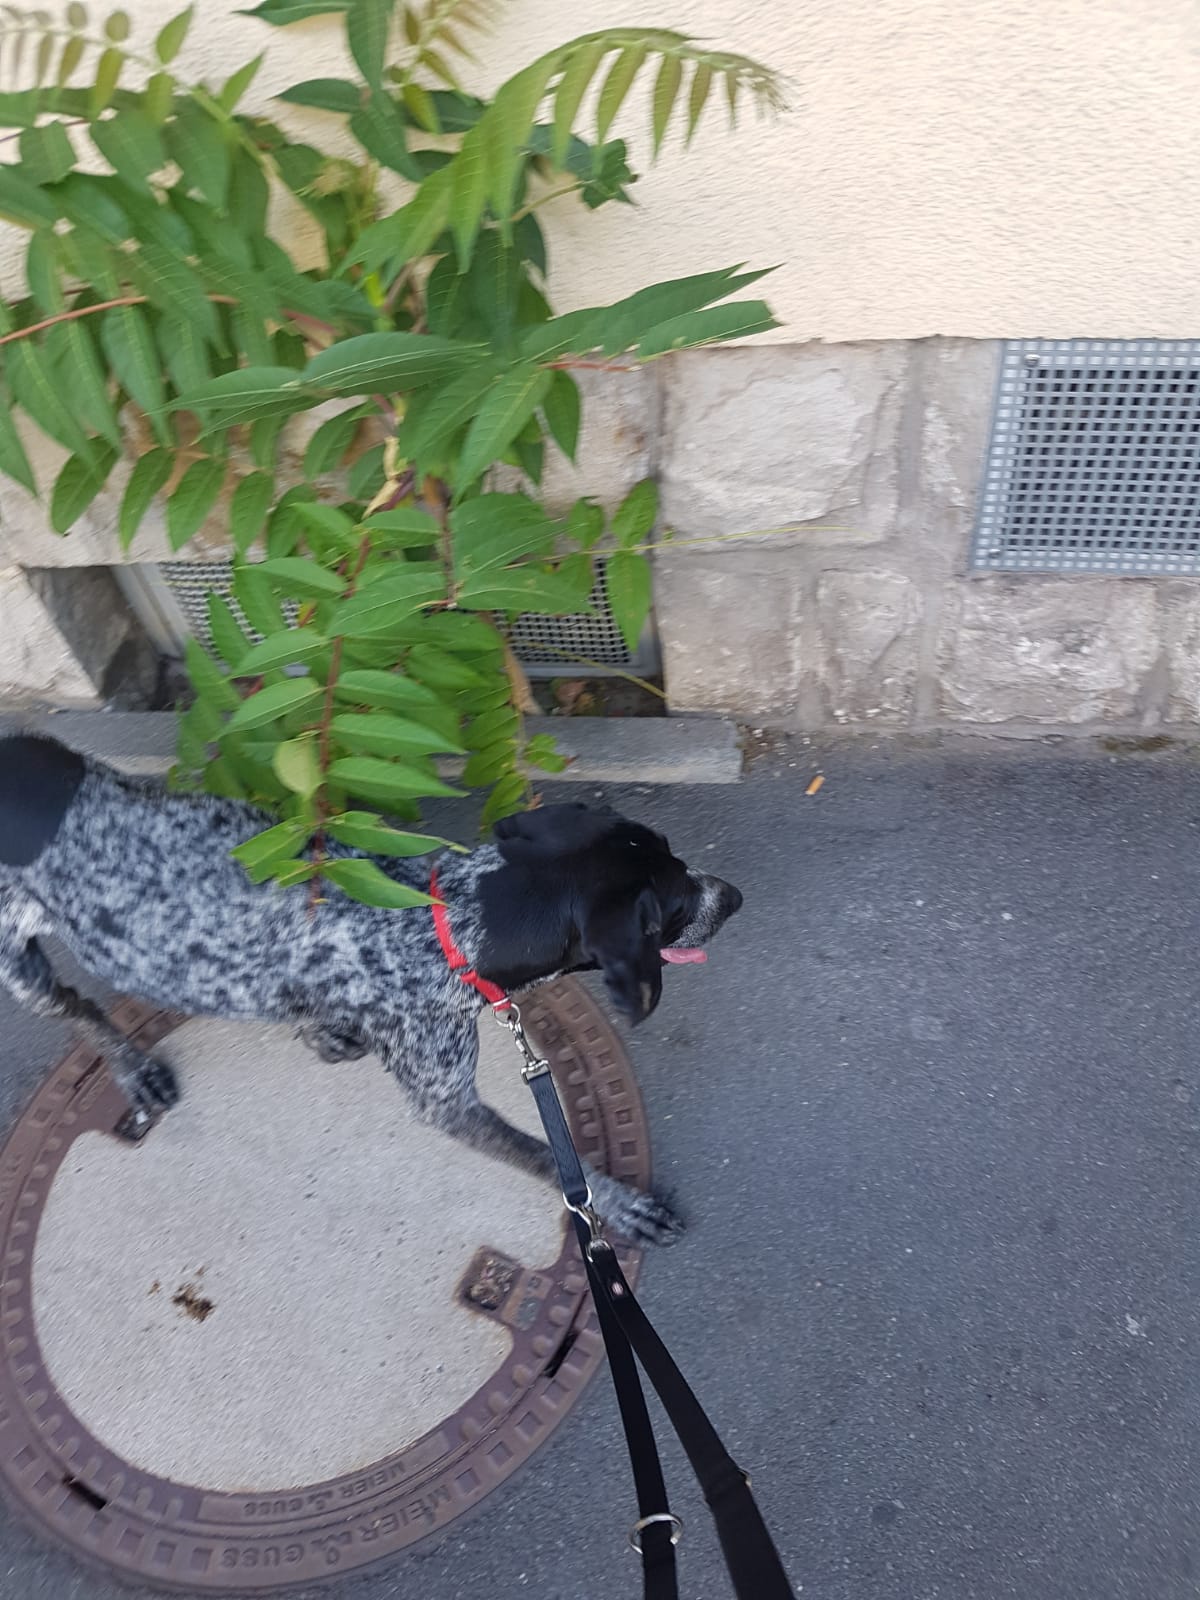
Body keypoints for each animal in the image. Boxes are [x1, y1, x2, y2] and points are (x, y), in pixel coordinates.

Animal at [0, 734, 742, 1244]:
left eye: (674, 857)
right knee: (82, 1009)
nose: (733, 897)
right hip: (20, 964)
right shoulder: (447, 1105)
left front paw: (320, 1028)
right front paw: (619, 1205)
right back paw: (133, 1069)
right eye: (673, 905)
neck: (447, 920)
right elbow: (554, 1163)